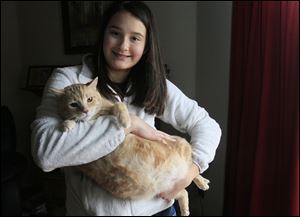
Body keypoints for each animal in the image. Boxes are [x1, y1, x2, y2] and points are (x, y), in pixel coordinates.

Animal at [50, 77, 210, 215]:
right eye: (73, 104)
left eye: (89, 99)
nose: (85, 111)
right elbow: (70, 121)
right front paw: (66, 124)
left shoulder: (111, 106)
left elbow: (119, 106)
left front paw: (125, 121)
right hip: (166, 190)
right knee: (184, 192)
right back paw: (186, 209)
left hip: (181, 147)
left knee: (193, 169)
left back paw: (202, 182)